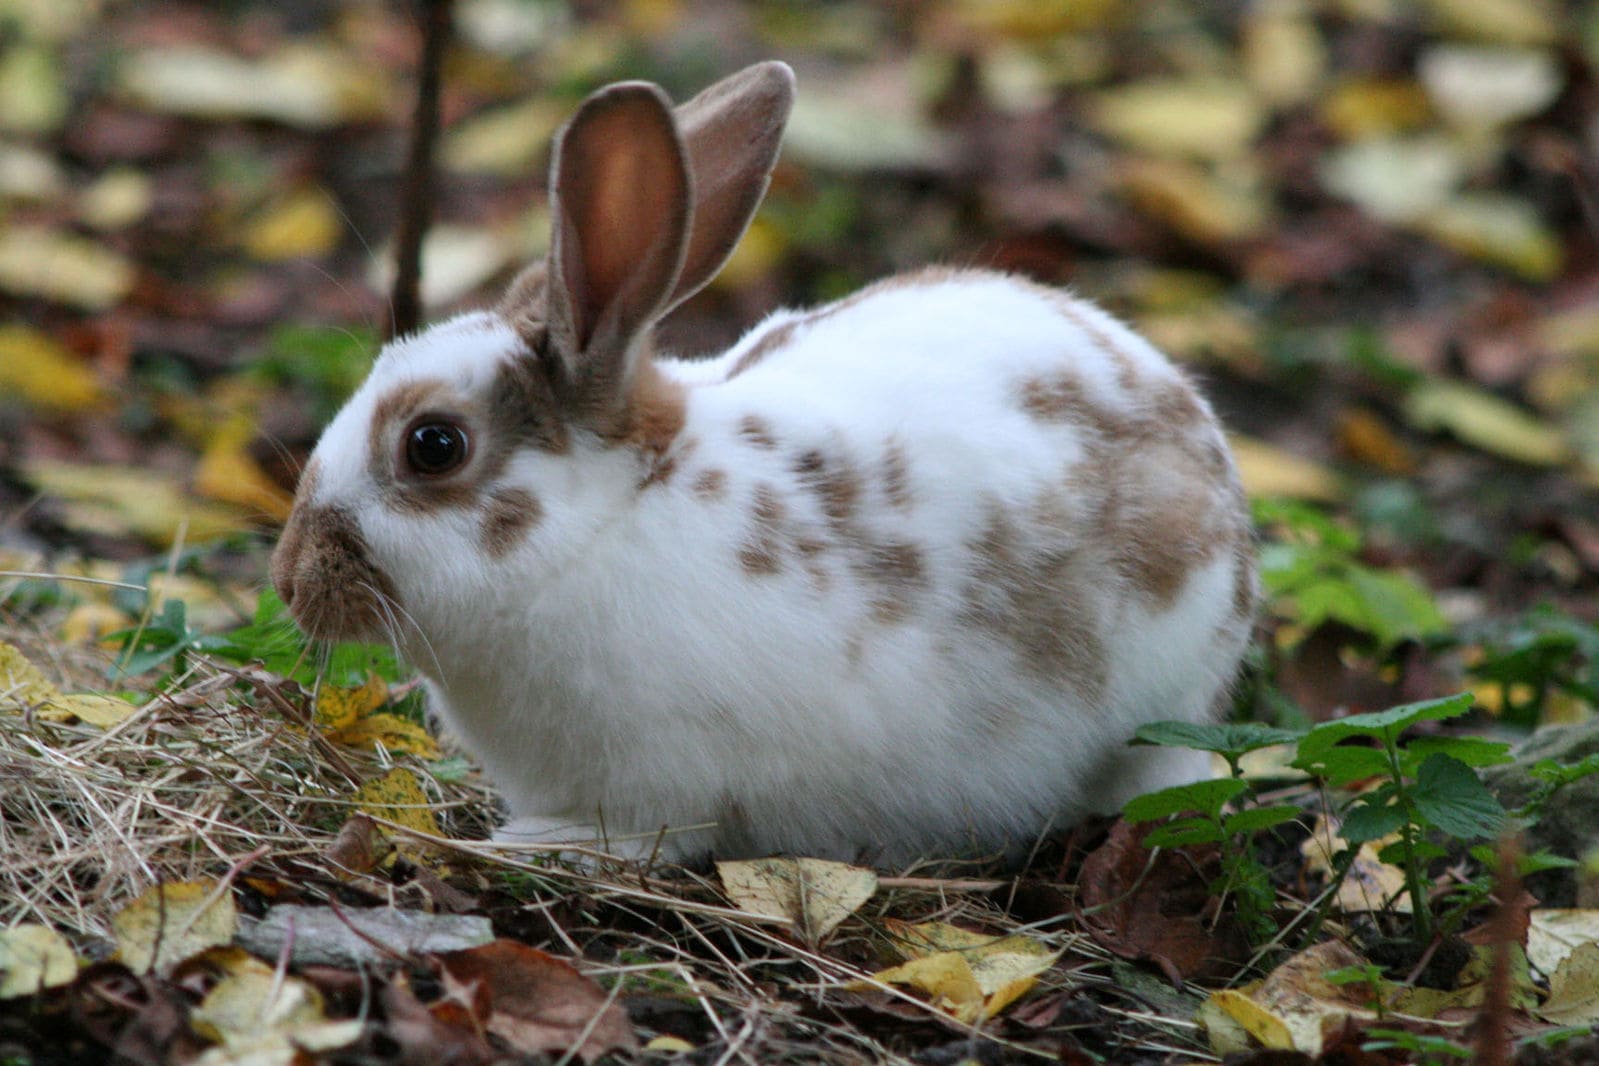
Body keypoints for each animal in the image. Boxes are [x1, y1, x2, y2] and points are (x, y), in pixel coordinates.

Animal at [270, 61, 1257, 866]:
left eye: (432, 445)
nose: (290, 578)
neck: (604, 527)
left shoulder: (656, 788)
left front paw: (533, 843)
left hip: (1158, 706)